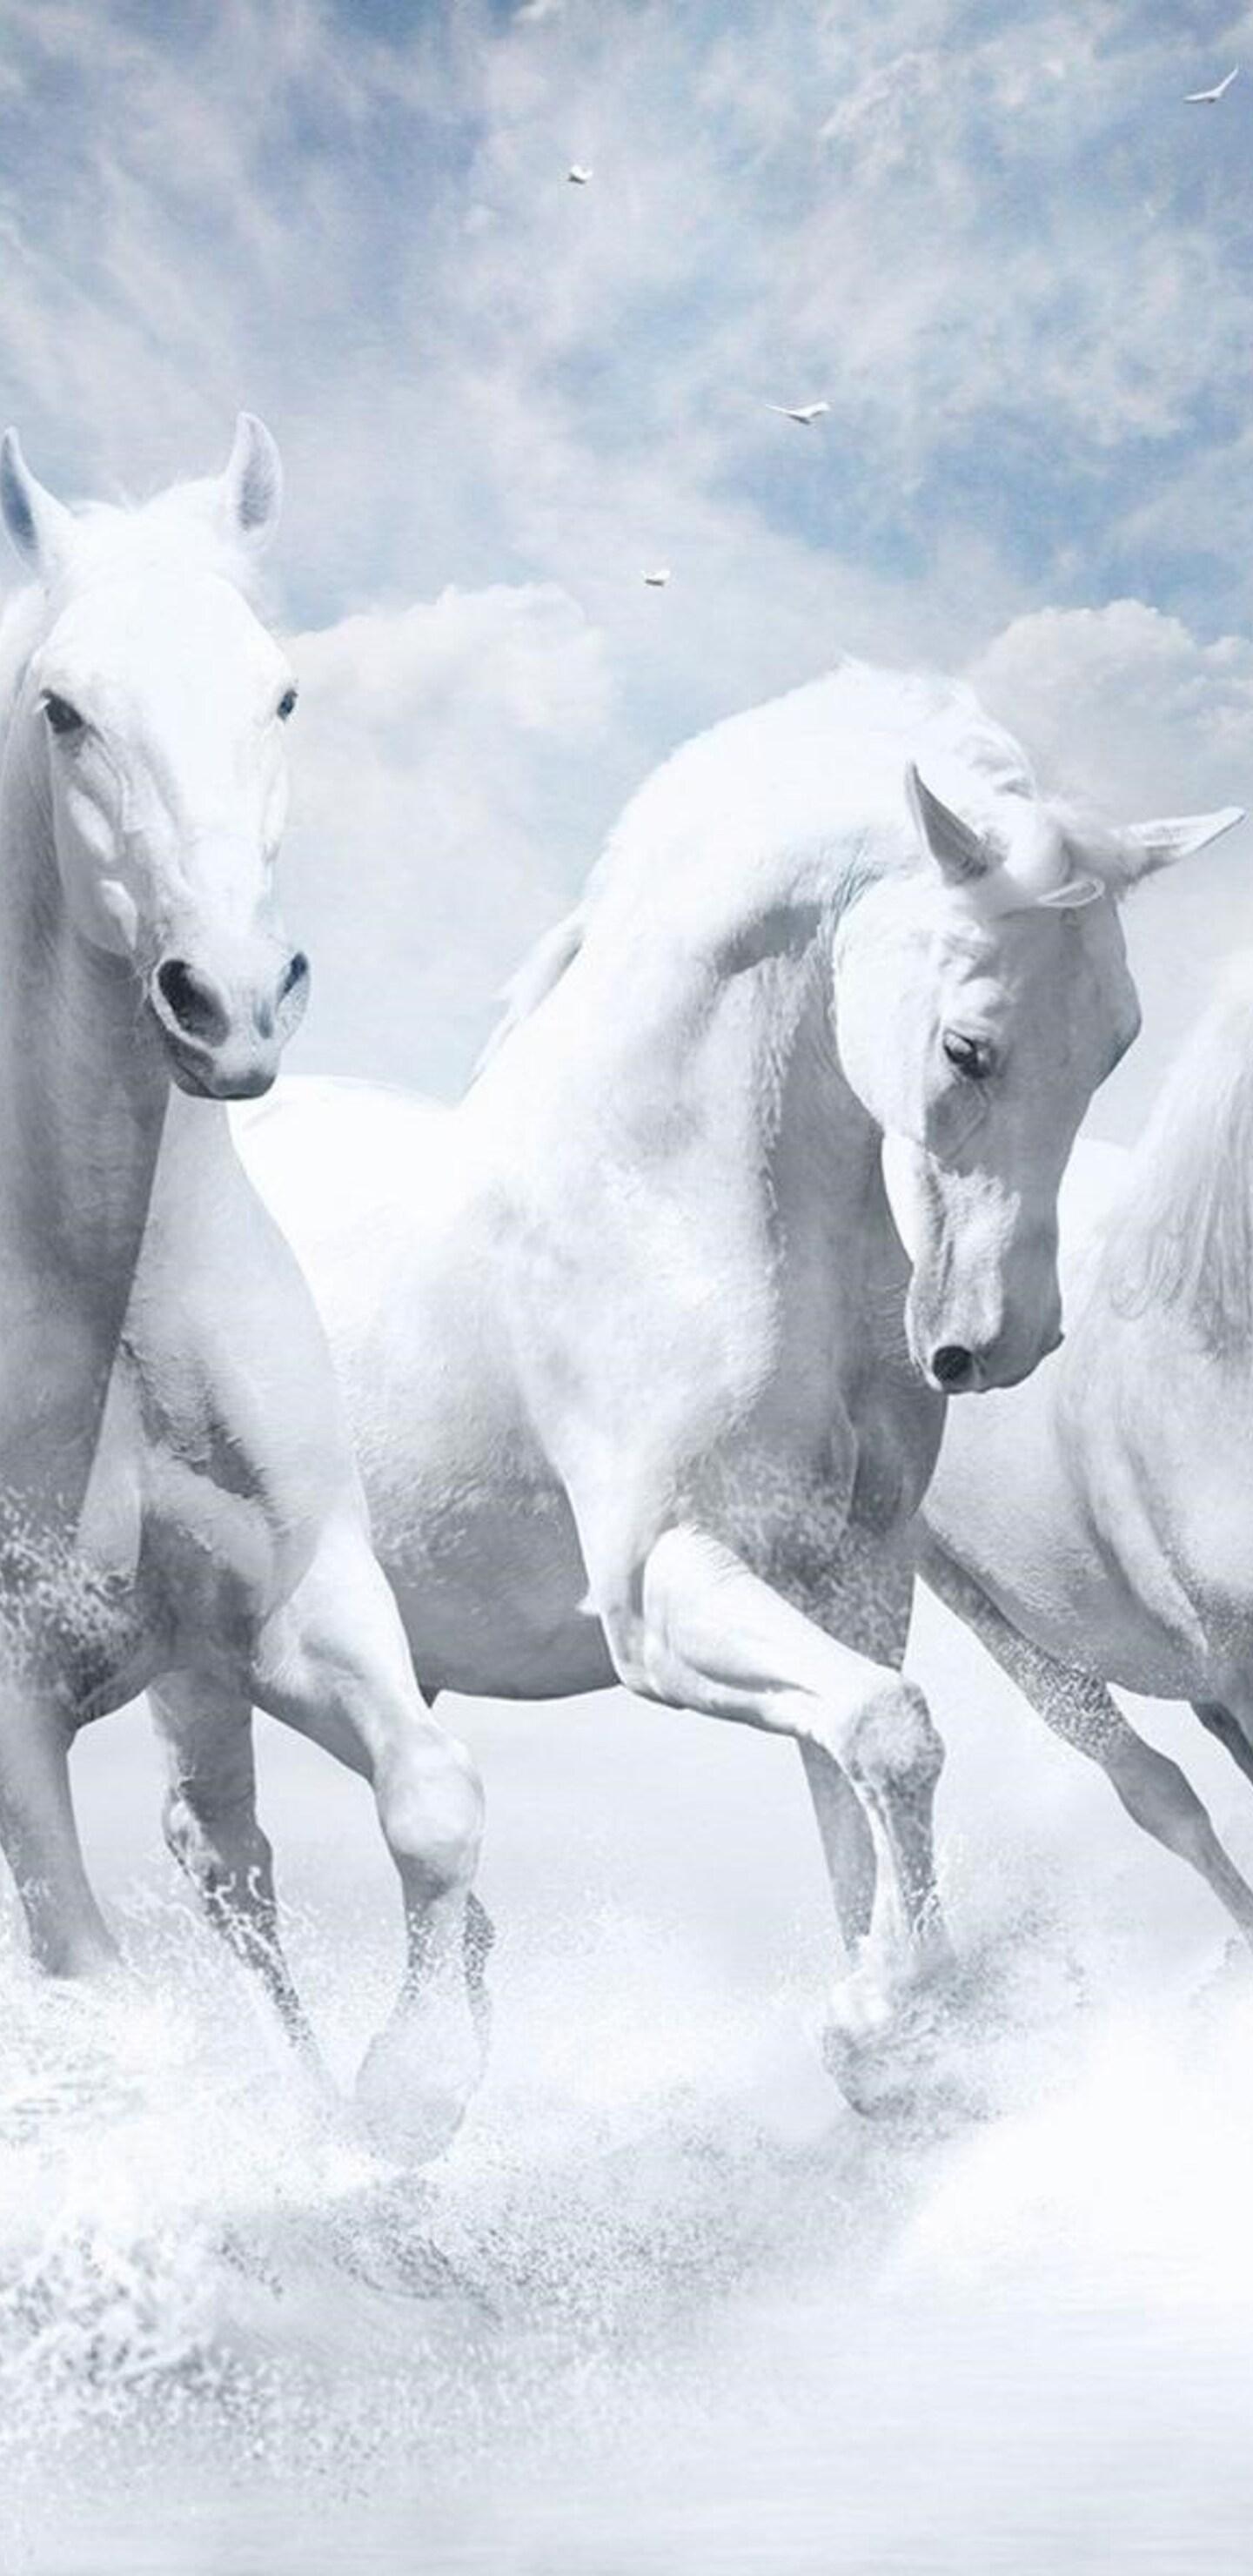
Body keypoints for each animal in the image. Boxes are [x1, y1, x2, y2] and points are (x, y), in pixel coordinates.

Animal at [0, 421, 486, 2154]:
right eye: (62, 709)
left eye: (279, 693)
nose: (228, 1003)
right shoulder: (10, 1709)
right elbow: (85, 1978)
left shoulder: (294, 1606)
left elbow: (433, 1805)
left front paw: (411, 2097)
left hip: (203, 1685)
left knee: (235, 1863)